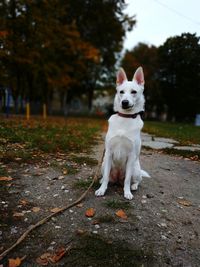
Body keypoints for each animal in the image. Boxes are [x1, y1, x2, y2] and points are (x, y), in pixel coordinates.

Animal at [95, 67, 150, 201]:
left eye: (134, 92)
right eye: (121, 92)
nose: (125, 102)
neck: (125, 118)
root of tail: (117, 179)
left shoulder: (131, 156)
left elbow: (127, 181)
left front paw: (127, 192)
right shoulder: (109, 153)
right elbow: (106, 178)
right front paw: (102, 190)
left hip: (135, 168)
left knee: (136, 180)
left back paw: (133, 186)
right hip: (104, 164)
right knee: (107, 177)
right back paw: (102, 181)